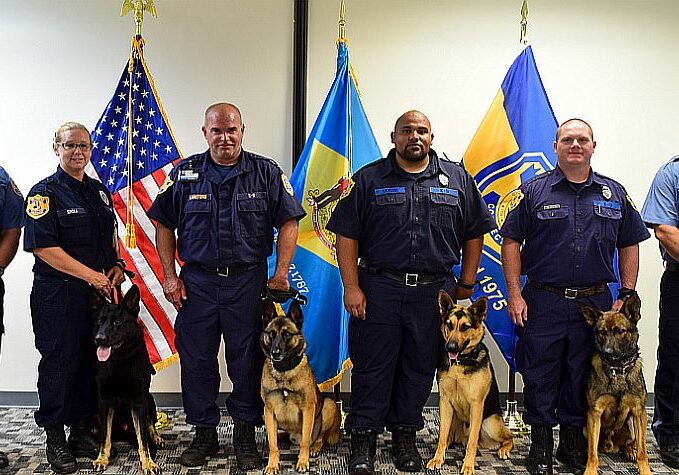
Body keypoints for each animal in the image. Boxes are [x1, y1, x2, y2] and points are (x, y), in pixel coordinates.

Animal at [90, 284, 165, 474]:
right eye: (99, 321)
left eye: (117, 323)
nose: (99, 339)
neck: (119, 360)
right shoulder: (104, 401)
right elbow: (105, 437)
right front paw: (102, 458)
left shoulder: (138, 402)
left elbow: (143, 439)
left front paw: (148, 463)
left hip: (149, 399)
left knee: (149, 424)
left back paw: (156, 437)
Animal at [258, 300, 340, 474]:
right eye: (271, 334)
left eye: (287, 335)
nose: (275, 353)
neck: (284, 370)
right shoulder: (268, 411)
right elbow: (273, 444)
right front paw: (272, 464)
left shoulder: (308, 409)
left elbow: (305, 441)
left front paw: (303, 462)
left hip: (329, 405)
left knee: (319, 437)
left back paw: (314, 448)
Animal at [424, 290, 516, 475]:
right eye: (449, 325)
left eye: (465, 327)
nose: (450, 347)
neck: (460, 362)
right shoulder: (444, 401)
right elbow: (442, 436)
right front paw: (438, 459)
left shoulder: (476, 404)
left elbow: (473, 441)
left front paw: (468, 465)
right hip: (453, 417)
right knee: (449, 436)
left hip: (490, 423)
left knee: (509, 436)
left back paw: (503, 449)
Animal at [580, 294, 652, 475]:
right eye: (601, 332)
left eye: (620, 331)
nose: (607, 352)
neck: (618, 369)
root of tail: (611, 446)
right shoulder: (594, 413)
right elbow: (592, 454)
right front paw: (590, 470)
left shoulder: (639, 412)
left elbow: (643, 451)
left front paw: (645, 470)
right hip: (586, 426)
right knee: (593, 448)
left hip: (632, 425)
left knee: (631, 444)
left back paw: (630, 451)